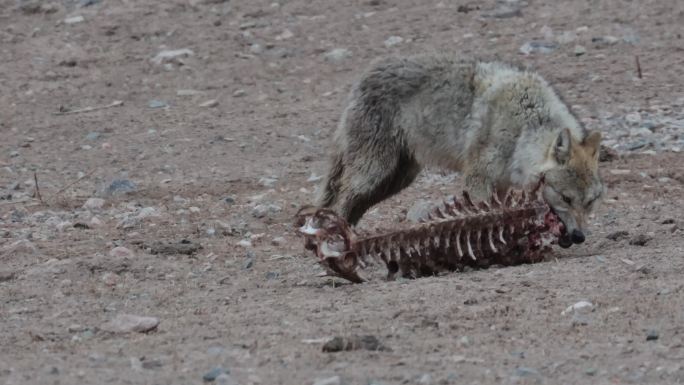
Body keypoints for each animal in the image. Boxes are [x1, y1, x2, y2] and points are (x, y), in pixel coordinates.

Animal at [316, 52, 604, 248]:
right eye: (566, 198)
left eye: (590, 201)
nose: (580, 236)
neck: (525, 124)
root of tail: (365, 75)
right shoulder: (477, 179)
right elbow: (484, 215)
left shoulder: (501, 184)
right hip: (373, 173)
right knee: (340, 200)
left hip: (395, 180)